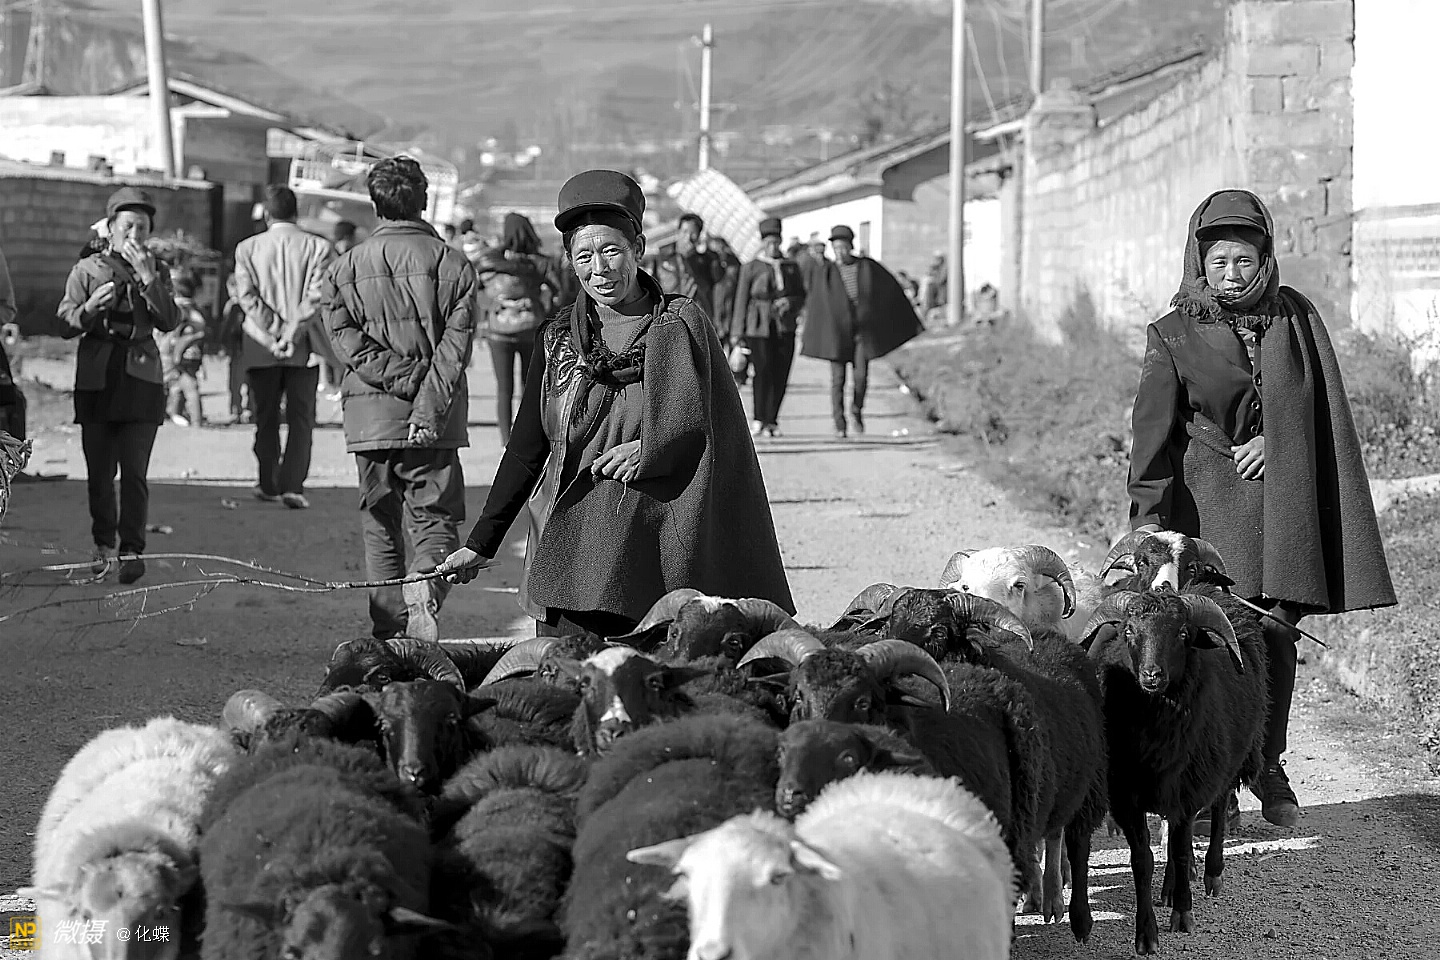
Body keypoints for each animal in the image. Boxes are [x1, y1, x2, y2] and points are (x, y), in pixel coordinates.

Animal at [1082, 585, 1268, 955]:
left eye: (1182, 634)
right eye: (1128, 631)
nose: (1152, 675)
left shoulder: (1189, 790)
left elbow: (1181, 853)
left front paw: (1183, 914)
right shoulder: (1126, 796)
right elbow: (1142, 861)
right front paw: (1146, 934)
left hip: (1227, 761)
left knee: (1220, 808)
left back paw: (1212, 873)